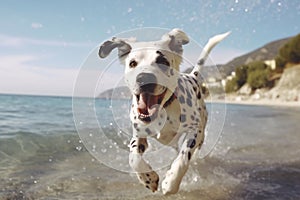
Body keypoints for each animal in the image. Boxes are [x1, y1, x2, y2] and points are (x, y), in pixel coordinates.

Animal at [98, 28, 230, 194]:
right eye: (132, 63)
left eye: (163, 61)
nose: (144, 78)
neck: (164, 110)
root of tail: (192, 76)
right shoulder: (139, 135)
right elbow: (133, 158)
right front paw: (148, 178)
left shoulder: (195, 130)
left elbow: (184, 156)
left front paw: (171, 182)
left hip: (201, 129)